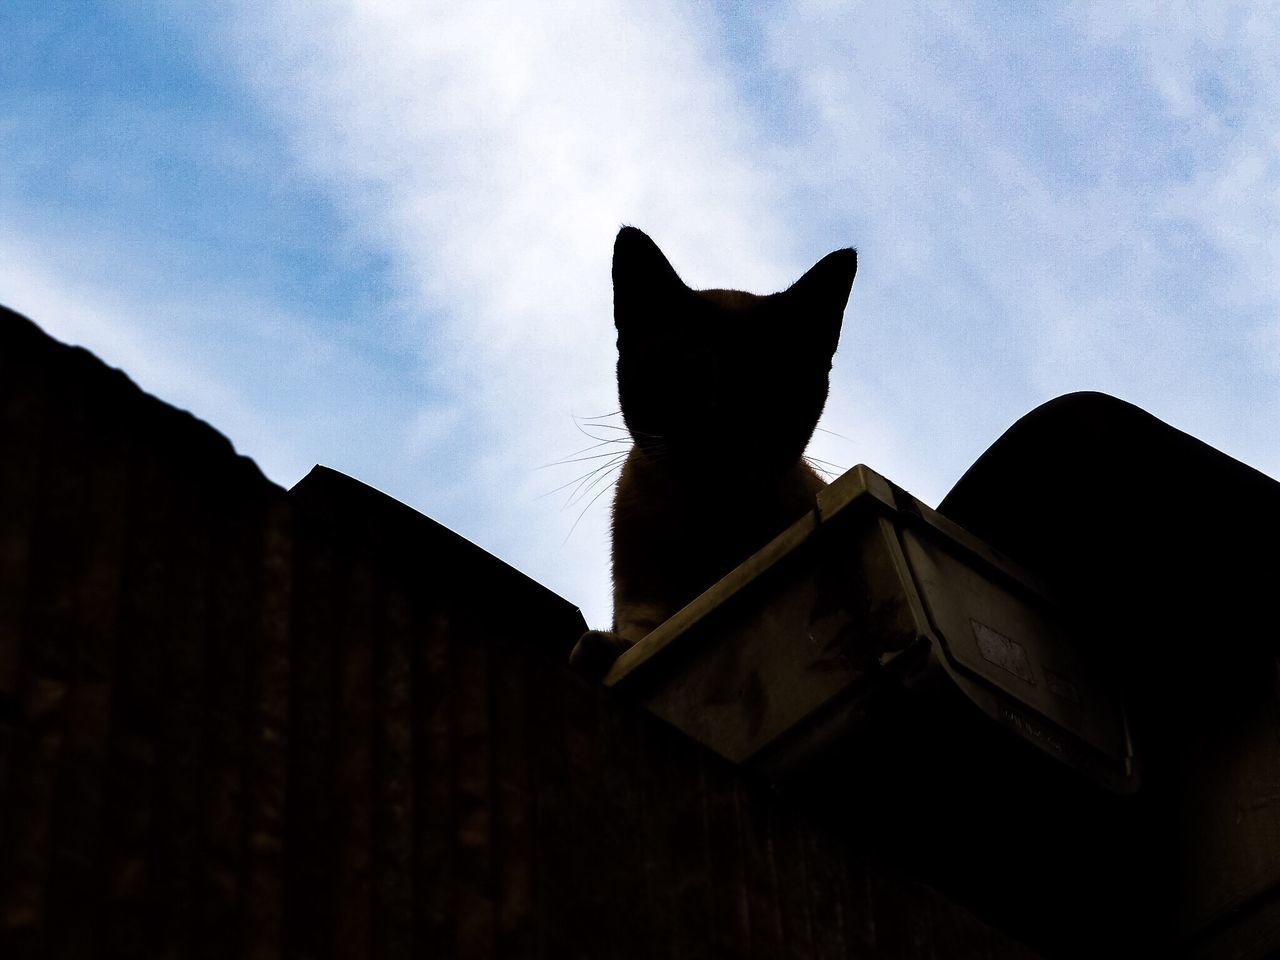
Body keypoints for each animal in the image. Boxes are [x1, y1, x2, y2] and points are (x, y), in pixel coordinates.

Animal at [573, 225, 860, 675]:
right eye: (686, 376)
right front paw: (600, 650)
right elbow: (636, 632)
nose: (721, 424)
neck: (708, 524)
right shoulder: (639, 597)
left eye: (767, 386)